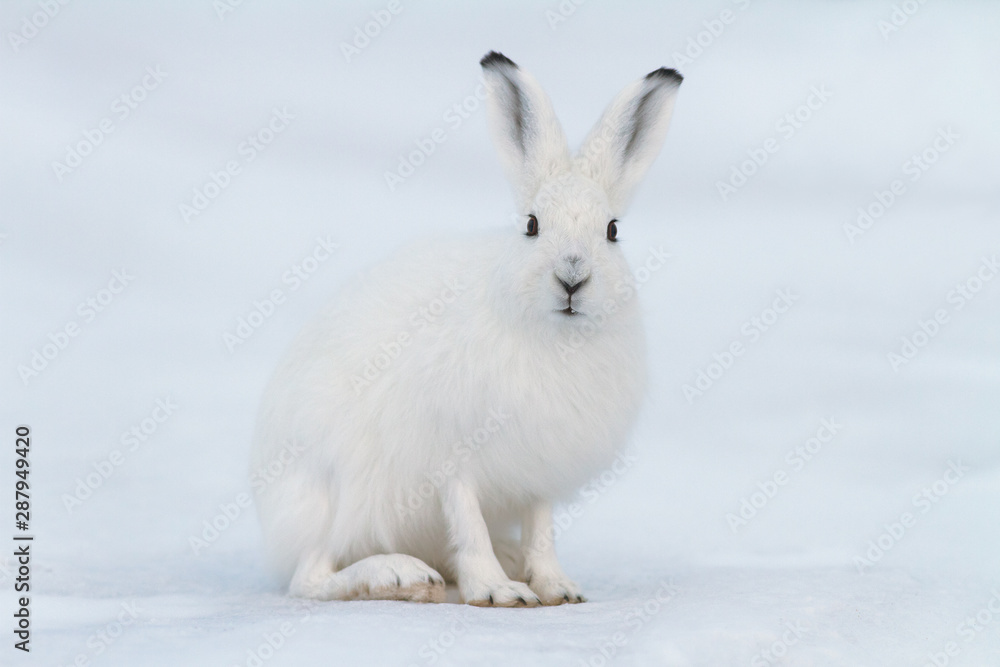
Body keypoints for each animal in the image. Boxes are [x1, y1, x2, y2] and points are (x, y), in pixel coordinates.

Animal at [250, 51, 683, 607]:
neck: (553, 339)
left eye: (611, 231)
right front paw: (498, 592)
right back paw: (401, 577)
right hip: (333, 490)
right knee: (310, 576)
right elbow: (469, 523)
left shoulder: (537, 469)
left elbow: (542, 529)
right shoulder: (452, 458)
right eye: (531, 225)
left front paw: (557, 588)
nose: (572, 278)